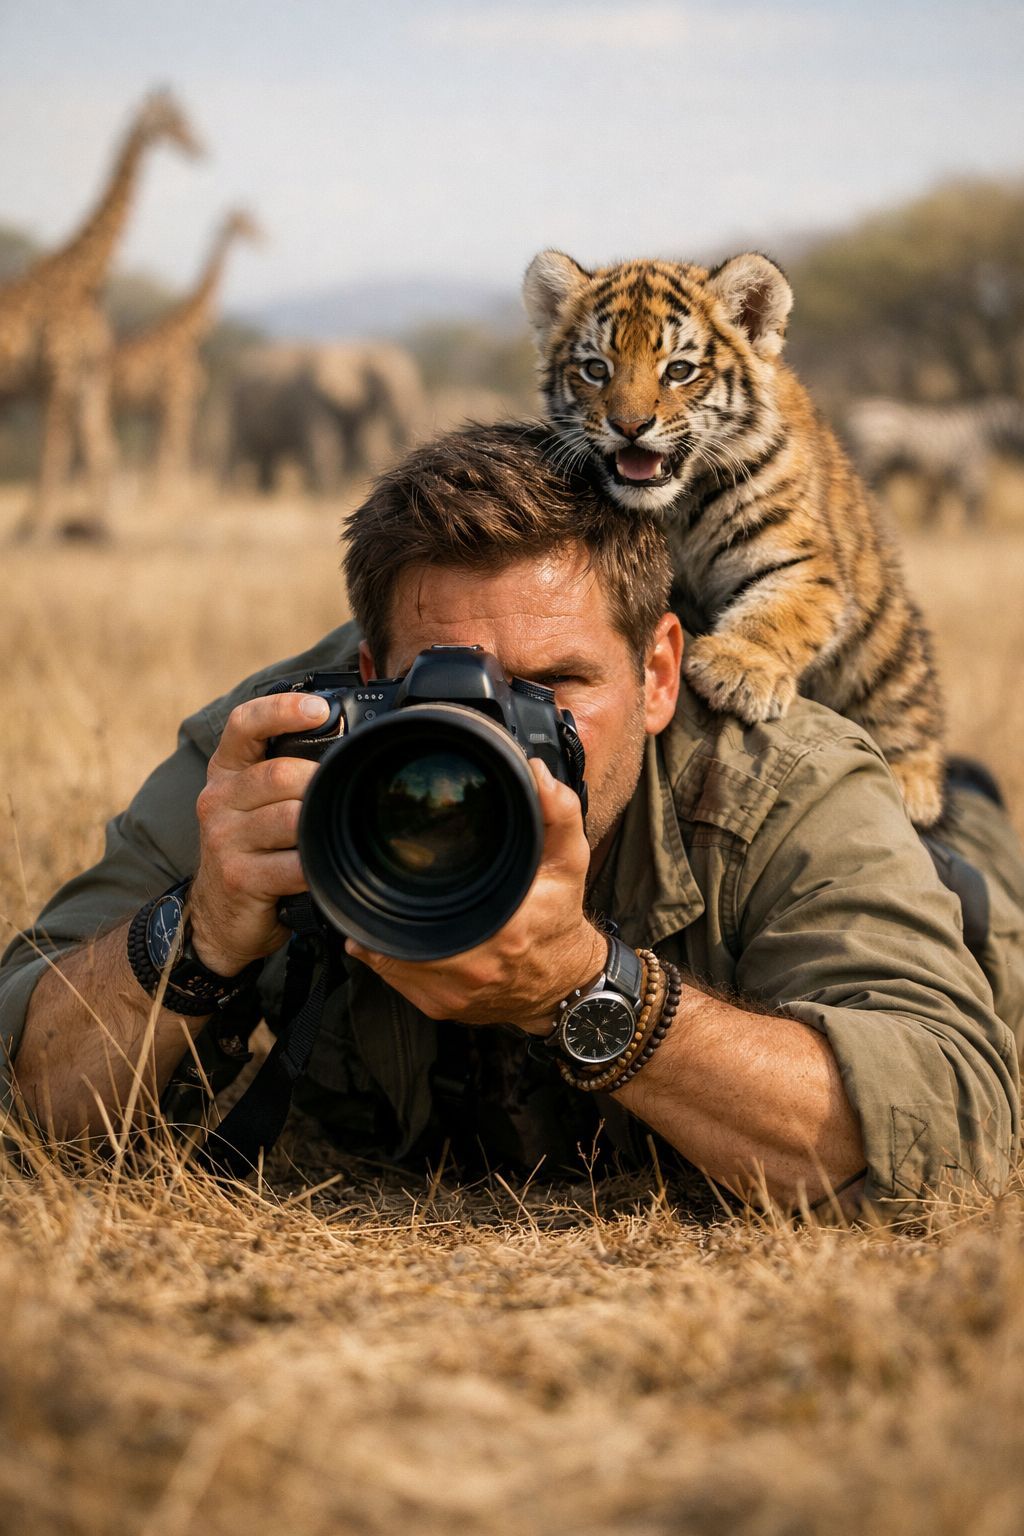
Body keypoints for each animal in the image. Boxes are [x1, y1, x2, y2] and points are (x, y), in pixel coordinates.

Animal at [522, 248, 946, 828]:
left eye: (679, 370)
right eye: (595, 369)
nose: (629, 426)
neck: (675, 506)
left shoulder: (802, 562)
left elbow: (778, 610)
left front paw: (736, 670)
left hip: (885, 646)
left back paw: (913, 784)